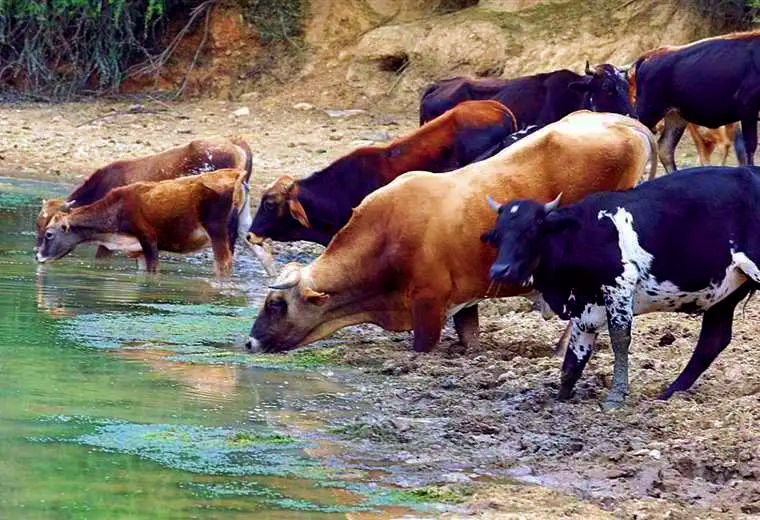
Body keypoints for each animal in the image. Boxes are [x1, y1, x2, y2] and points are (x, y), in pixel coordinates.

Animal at [37, 169, 251, 278]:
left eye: (49, 234)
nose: (38, 256)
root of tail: (237, 175)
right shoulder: (137, 249)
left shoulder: (148, 238)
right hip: (245, 231)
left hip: (218, 232)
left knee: (224, 264)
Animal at [245, 109, 660, 354]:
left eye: (276, 303)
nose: (249, 342)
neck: (385, 235)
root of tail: (622, 122)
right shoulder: (466, 300)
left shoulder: (428, 307)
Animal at [484, 166, 760, 406]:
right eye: (498, 235)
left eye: (531, 230)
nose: (500, 270)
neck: (581, 233)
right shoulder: (584, 309)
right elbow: (574, 359)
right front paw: (560, 400)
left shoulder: (618, 284)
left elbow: (619, 338)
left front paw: (616, 395)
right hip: (727, 292)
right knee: (712, 341)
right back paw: (669, 393)